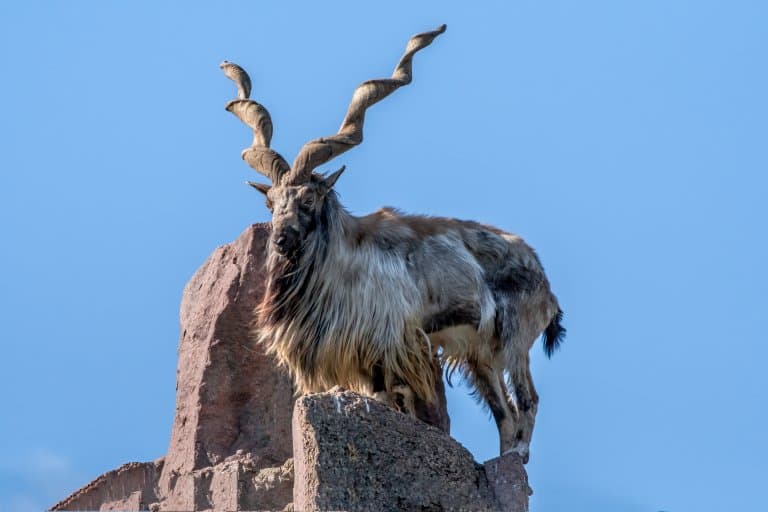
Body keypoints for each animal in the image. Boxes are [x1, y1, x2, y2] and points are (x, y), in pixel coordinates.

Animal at [220, 26, 564, 462]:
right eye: (270, 203)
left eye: (309, 199)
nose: (281, 240)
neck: (342, 263)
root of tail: (546, 285)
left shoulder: (387, 349)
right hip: (480, 356)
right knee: (505, 413)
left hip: (514, 341)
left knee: (528, 402)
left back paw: (516, 457)